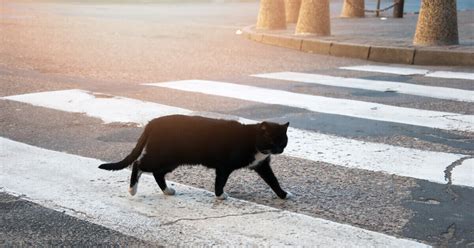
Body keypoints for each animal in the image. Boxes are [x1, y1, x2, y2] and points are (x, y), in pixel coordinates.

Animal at [99, 114, 290, 200]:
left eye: (283, 141)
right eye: (272, 141)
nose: (279, 149)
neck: (253, 140)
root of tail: (154, 122)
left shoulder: (261, 165)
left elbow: (273, 180)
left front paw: (283, 194)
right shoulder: (224, 166)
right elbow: (220, 181)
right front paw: (220, 195)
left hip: (171, 160)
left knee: (157, 173)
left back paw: (167, 191)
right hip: (162, 155)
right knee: (139, 164)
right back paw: (132, 189)